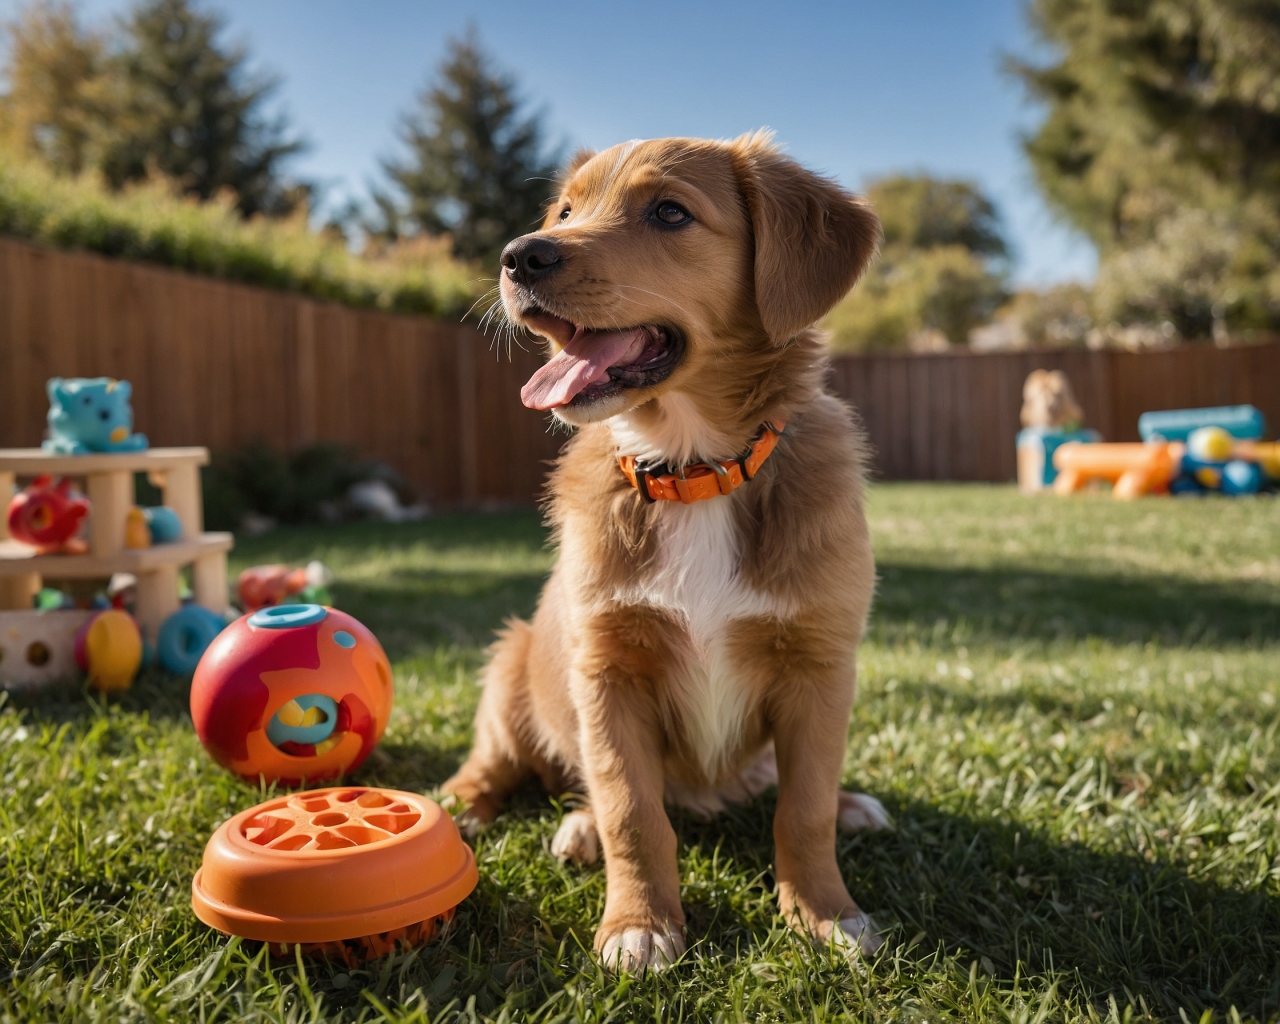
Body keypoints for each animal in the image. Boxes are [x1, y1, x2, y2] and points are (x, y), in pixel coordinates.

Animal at [445, 131, 885, 972]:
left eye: (670, 213)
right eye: (565, 211)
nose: (518, 257)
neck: (693, 471)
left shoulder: (820, 665)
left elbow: (804, 805)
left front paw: (825, 914)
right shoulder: (606, 670)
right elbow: (629, 808)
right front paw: (639, 924)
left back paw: (855, 805)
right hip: (513, 664)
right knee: (510, 766)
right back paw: (474, 808)